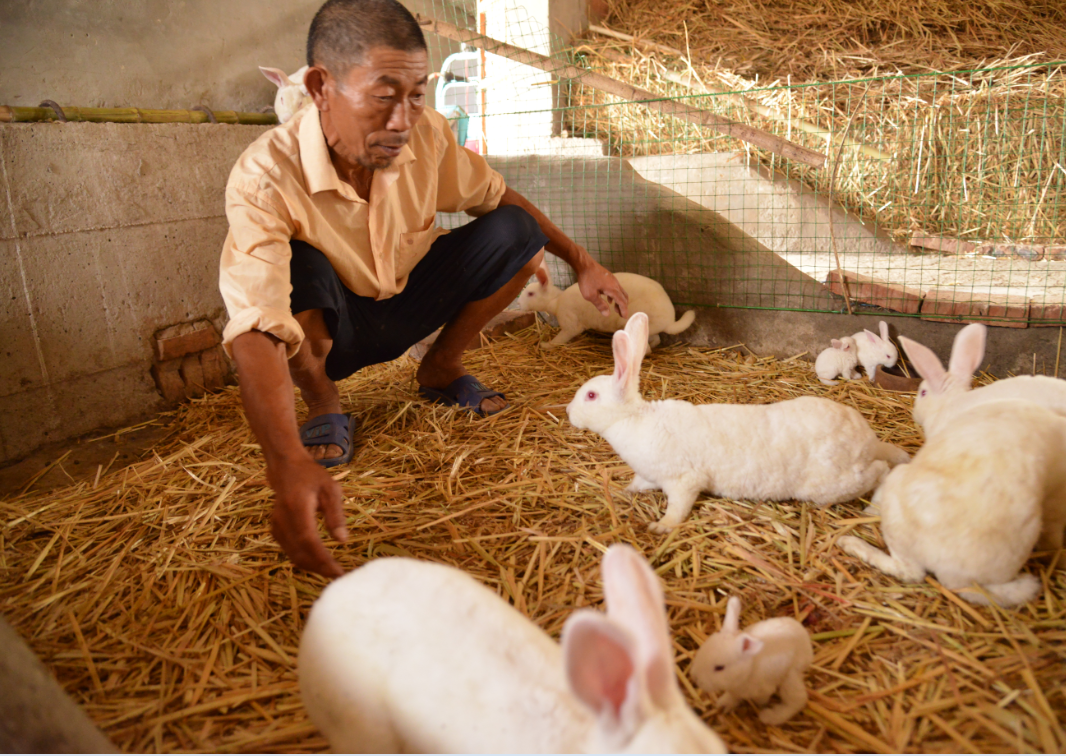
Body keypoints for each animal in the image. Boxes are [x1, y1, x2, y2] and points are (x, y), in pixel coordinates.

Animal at [518, 261, 699, 351]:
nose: (518, 304)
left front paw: (545, 345)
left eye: (531, 294)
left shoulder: (570, 325)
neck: (556, 300)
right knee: (655, 341)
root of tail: (669, 320)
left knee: (646, 348)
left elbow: (560, 339)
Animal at [567, 313, 908, 531]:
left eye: (591, 396)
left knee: (882, 472)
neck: (634, 420)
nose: (569, 412)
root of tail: (866, 440)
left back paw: (873, 506)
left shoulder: (683, 481)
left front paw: (660, 527)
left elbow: (677, 508)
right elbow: (639, 483)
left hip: (834, 485)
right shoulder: (651, 475)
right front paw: (624, 491)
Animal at [690, 597, 805, 725]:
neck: (749, 670)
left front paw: (760, 706)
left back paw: (770, 716)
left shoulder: (764, 690)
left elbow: (761, 699)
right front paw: (724, 704)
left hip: (791, 676)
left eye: (719, 667)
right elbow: (732, 697)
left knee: (797, 699)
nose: (695, 678)